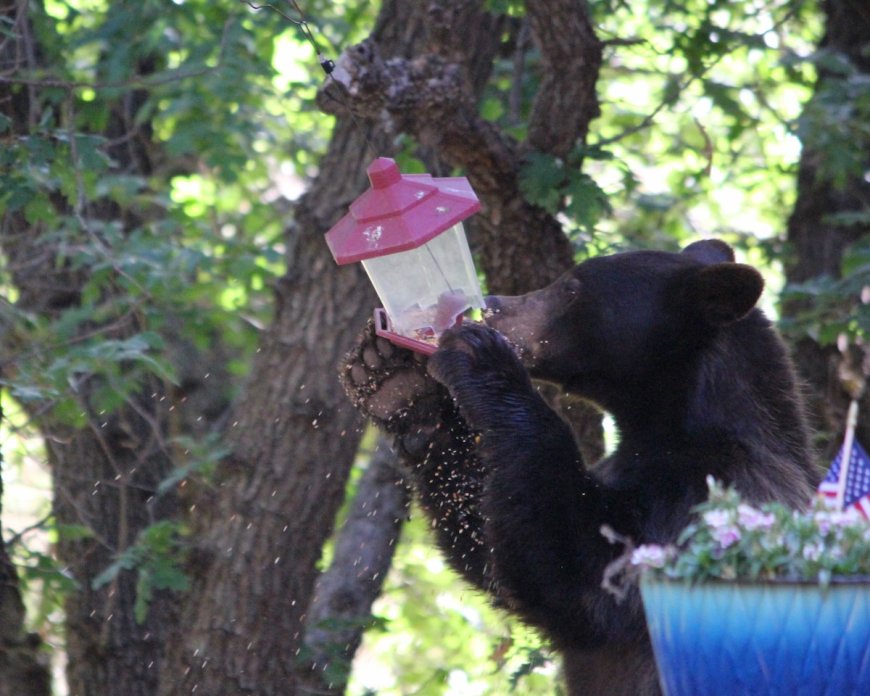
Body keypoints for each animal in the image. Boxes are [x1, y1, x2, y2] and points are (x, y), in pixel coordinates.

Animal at [341, 239, 817, 695]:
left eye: (571, 287)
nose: (492, 304)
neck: (669, 427)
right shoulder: (622, 469)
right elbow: (489, 532)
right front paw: (393, 380)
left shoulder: (717, 495)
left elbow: (586, 576)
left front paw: (480, 356)